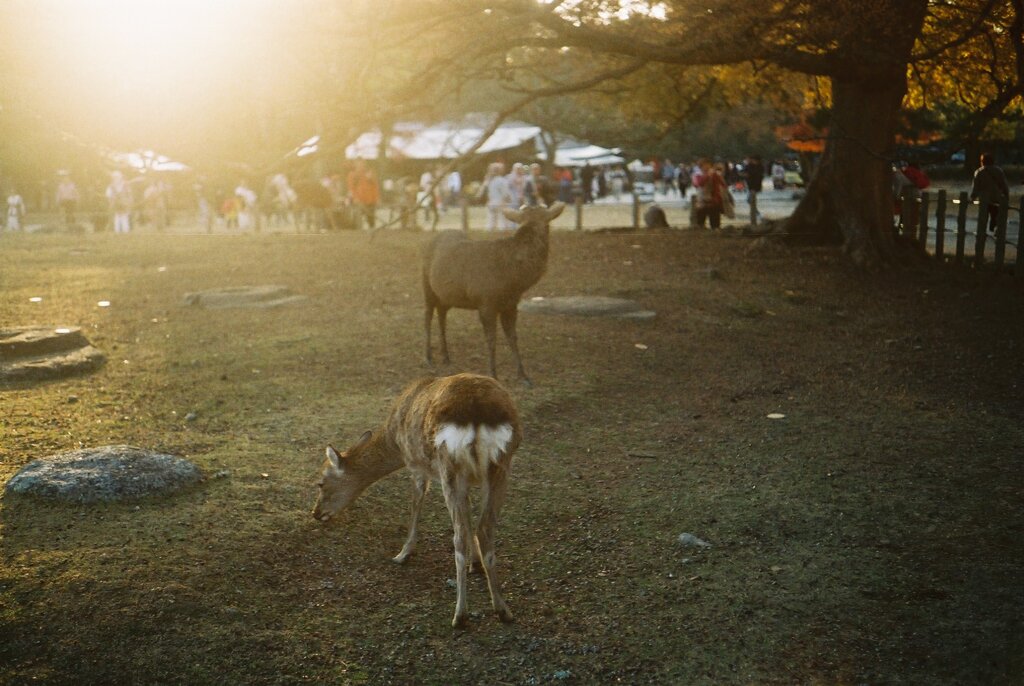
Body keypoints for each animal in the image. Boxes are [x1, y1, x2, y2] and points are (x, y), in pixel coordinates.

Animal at [309, 372, 520, 630]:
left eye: (320, 483)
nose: (316, 513)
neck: (394, 440)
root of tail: (477, 412)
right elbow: (470, 515)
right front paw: (476, 564)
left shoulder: (416, 465)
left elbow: (416, 504)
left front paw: (402, 554)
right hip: (502, 465)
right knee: (485, 528)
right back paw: (503, 610)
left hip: (448, 466)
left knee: (458, 536)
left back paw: (460, 615)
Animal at [423, 202, 569, 387]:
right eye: (548, 224)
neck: (513, 281)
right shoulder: (486, 302)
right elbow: (491, 339)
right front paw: (493, 374)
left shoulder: (511, 304)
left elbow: (513, 337)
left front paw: (524, 376)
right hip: (426, 285)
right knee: (427, 316)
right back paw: (428, 357)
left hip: (445, 296)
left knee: (442, 316)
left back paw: (446, 357)